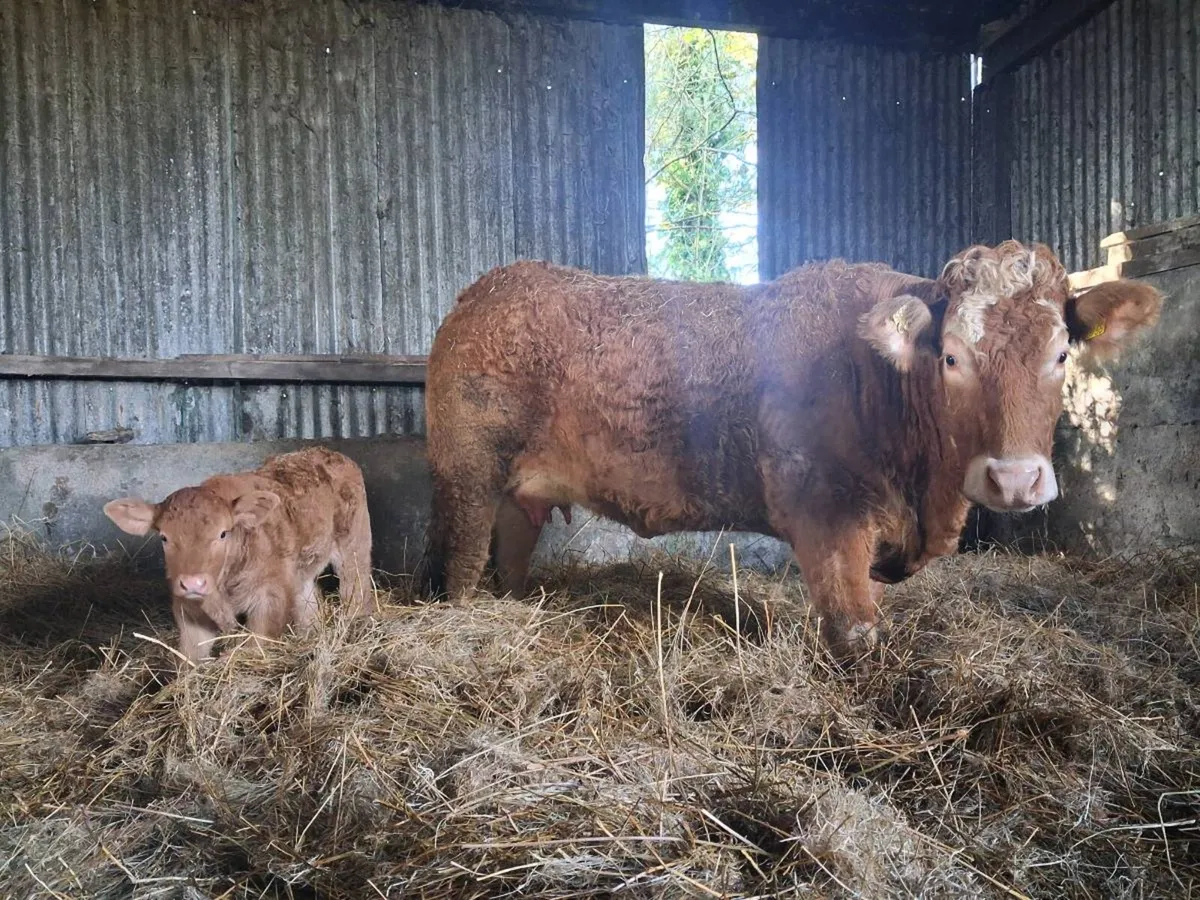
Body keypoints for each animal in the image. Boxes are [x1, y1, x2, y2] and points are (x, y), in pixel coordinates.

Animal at [104, 446, 375, 663]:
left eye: (223, 533)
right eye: (164, 537)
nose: (193, 583)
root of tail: (327, 452)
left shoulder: (270, 598)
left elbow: (255, 647)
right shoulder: (188, 611)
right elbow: (188, 661)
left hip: (354, 546)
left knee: (357, 591)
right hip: (300, 574)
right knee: (308, 605)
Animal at [421, 241, 1161, 657]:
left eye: (1061, 354)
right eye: (951, 357)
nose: (1013, 479)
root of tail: (488, 288)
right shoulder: (825, 512)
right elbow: (856, 631)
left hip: (518, 492)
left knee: (512, 556)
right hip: (467, 473)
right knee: (461, 570)